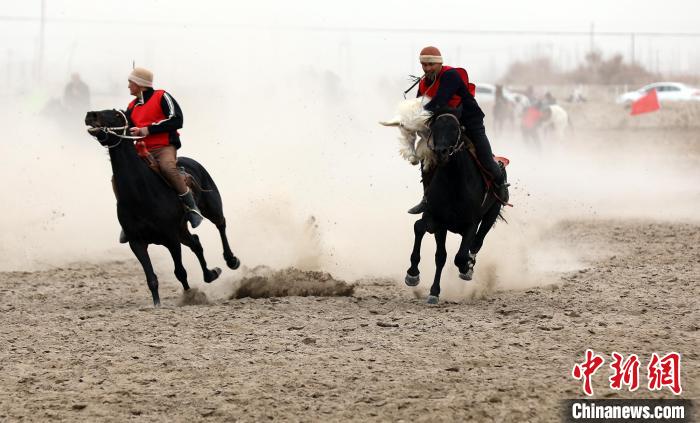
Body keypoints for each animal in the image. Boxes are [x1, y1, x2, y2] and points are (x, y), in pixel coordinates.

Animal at [82, 109, 238, 306]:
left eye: (116, 115)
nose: (91, 114)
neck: (140, 193)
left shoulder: (171, 238)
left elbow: (180, 272)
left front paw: (189, 295)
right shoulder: (136, 242)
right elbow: (151, 277)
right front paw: (157, 303)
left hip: (211, 207)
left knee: (220, 224)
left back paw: (231, 260)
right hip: (182, 230)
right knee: (196, 242)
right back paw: (211, 274)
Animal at [404, 107, 508, 304]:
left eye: (455, 129)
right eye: (435, 128)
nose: (441, 152)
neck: (454, 184)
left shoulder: (471, 223)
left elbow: (460, 256)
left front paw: (466, 268)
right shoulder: (438, 221)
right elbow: (438, 253)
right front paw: (425, 285)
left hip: (491, 213)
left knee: (477, 242)